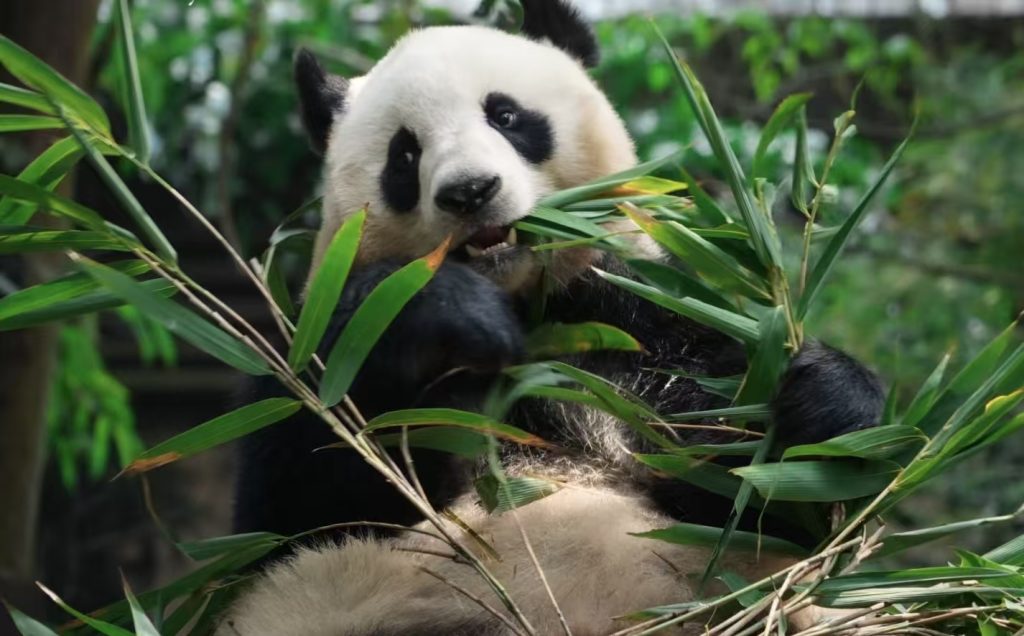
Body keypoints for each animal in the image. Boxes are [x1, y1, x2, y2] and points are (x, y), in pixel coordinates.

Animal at [220, 2, 885, 634]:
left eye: (506, 116)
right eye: (404, 154)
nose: (469, 191)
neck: (528, 303)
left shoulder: (643, 317)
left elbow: (752, 499)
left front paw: (824, 403)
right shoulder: (311, 342)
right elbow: (306, 506)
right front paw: (449, 313)